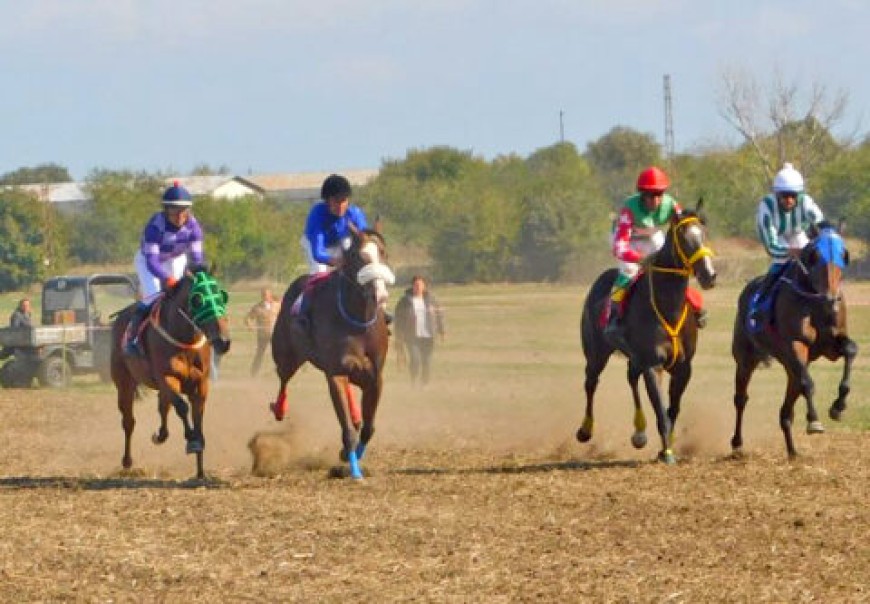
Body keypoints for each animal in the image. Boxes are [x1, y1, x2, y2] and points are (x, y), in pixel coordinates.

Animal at [110, 268, 232, 482]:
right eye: (198, 299)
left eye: (222, 295)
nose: (223, 341)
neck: (184, 341)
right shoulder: (167, 378)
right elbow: (182, 407)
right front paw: (191, 440)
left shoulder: (200, 384)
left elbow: (198, 418)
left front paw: (200, 471)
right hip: (124, 382)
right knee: (128, 420)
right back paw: (127, 461)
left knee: (162, 407)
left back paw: (160, 435)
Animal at [270, 229, 396, 478]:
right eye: (359, 256)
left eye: (383, 253)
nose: (380, 295)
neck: (358, 322)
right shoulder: (335, 373)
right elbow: (347, 430)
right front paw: (354, 470)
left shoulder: (375, 377)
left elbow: (369, 428)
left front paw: (351, 455)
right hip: (286, 356)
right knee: (283, 379)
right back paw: (279, 408)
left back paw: (356, 414)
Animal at [584, 205, 720, 464]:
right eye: (684, 238)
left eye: (704, 233)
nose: (709, 275)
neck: (668, 308)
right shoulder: (652, 365)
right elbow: (661, 411)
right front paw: (666, 453)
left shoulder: (683, 367)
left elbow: (672, 410)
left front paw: (666, 447)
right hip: (596, 354)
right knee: (591, 383)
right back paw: (585, 430)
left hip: (634, 357)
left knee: (630, 378)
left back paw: (639, 433)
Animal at [732, 223, 856, 458]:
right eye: (815, 255)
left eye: (844, 254)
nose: (831, 298)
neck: (815, 302)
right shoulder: (795, 345)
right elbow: (808, 384)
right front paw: (814, 421)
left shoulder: (831, 346)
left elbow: (851, 350)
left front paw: (838, 407)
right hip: (746, 359)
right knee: (741, 399)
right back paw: (737, 444)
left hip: (790, 367)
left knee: (786, 411)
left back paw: (792, 451)